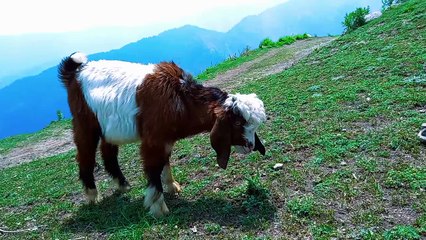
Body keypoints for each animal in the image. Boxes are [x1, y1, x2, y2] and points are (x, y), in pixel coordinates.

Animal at [59, 51, 266, 217]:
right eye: (237, 122)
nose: (251, 146)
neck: (181, 98)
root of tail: (74, 74)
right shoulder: (152, 141)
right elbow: (153, 169)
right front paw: (158, 207)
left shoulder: (165, 139)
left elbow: (165, 162)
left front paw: (172, 187)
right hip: (84, 125)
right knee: (85, 156)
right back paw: (92, 196)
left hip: (108, 129)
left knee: (108, 153)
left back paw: (123, 185)